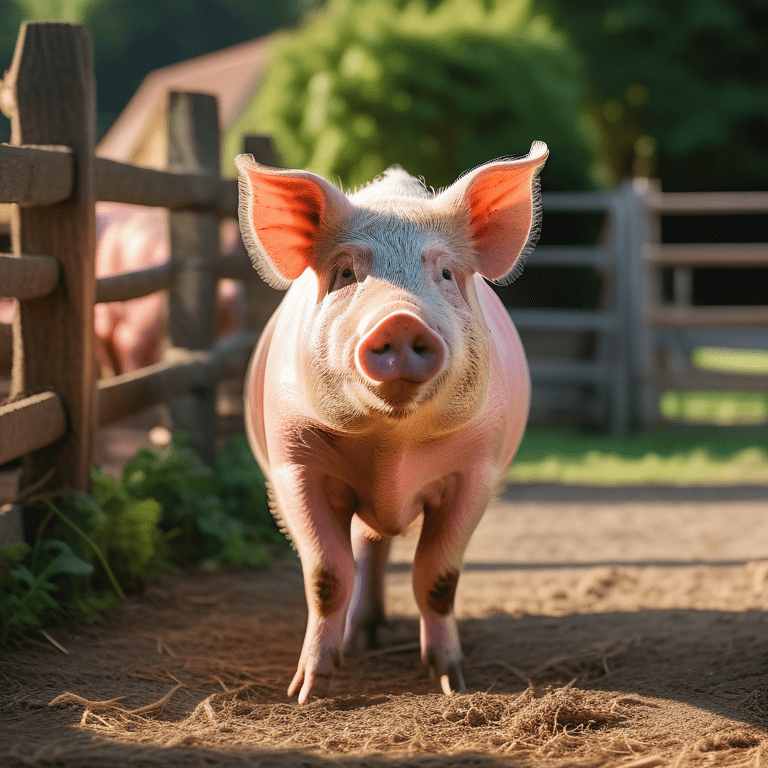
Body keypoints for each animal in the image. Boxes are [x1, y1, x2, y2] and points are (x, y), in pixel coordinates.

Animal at [237, 142, 548, 704]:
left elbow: (438, 577)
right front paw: (306, 693)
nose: (400, 319)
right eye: (345, 273)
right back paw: (360, 639)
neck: (391, 446)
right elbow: (327, 575)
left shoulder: (478, 470)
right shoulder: (294, 464)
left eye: (445, 273)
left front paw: (452, 683)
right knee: (366, 550)